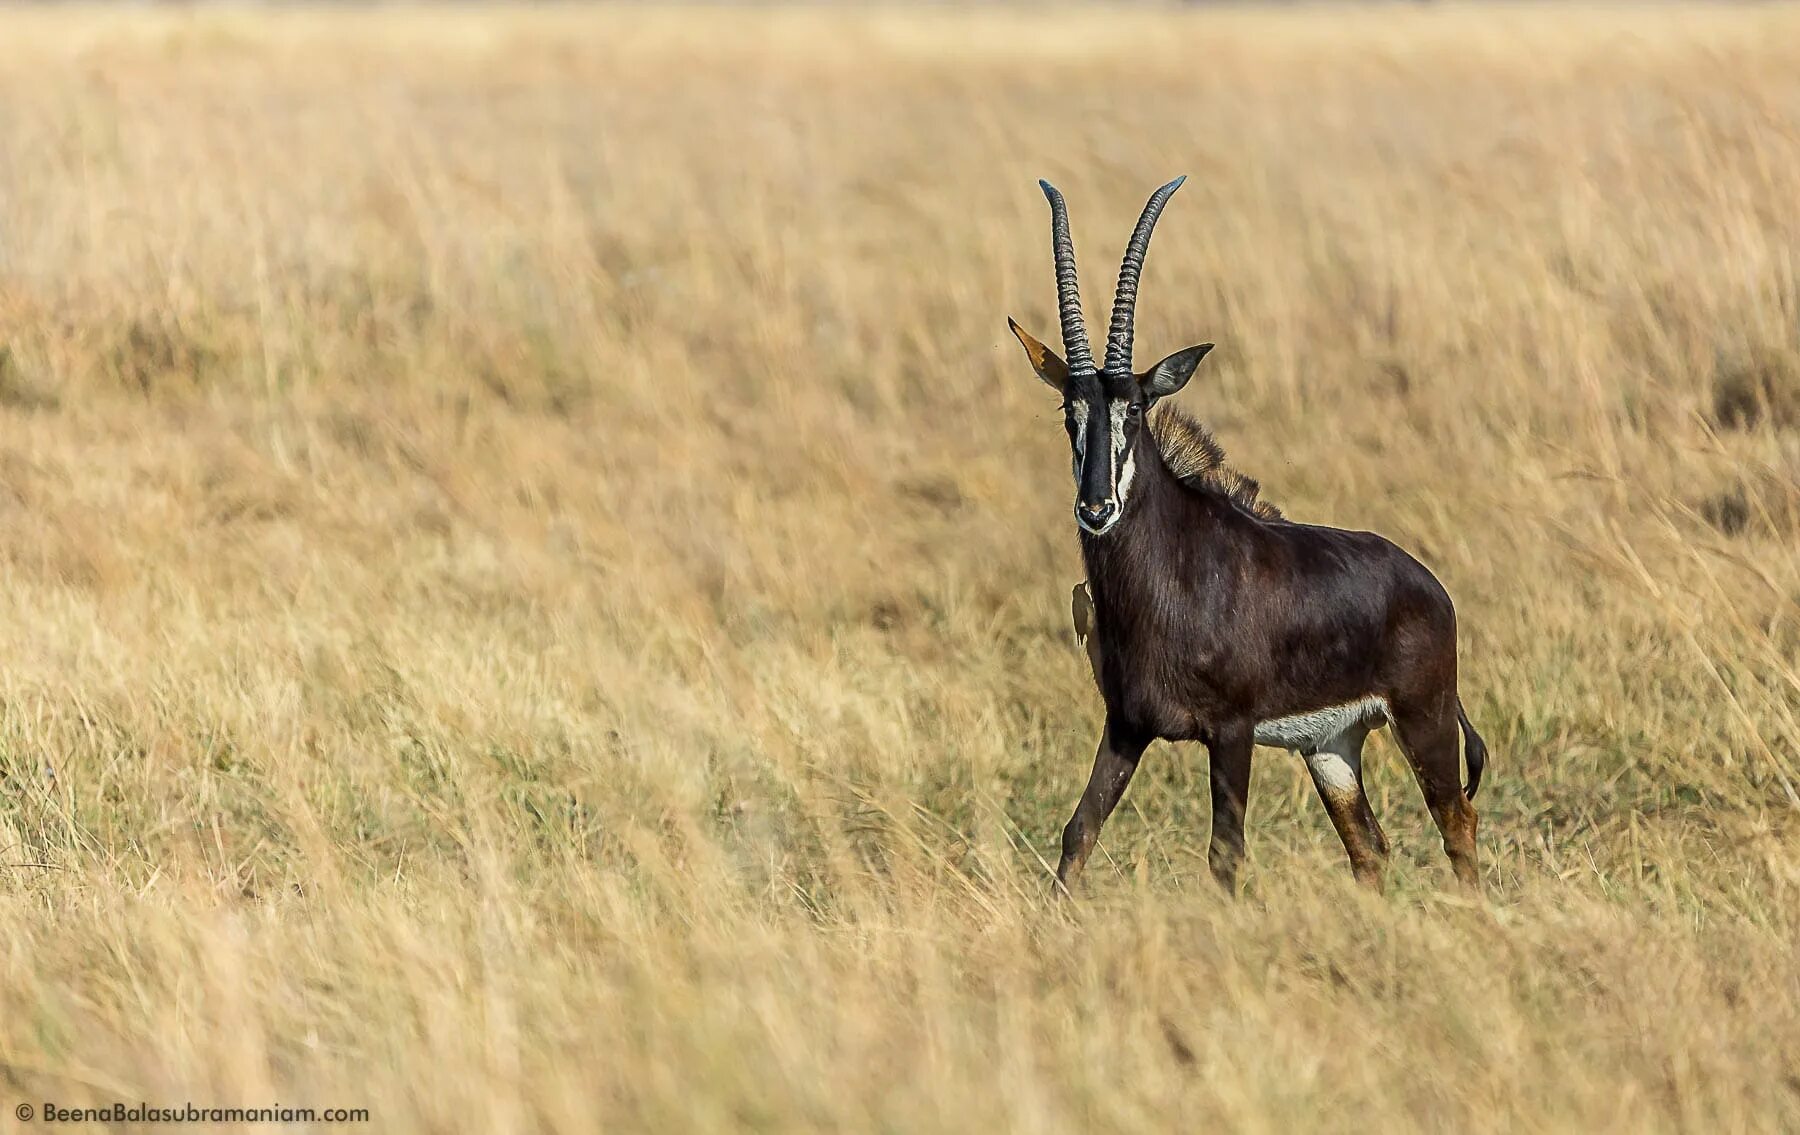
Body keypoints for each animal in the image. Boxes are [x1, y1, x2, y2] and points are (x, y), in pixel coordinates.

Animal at [1008, 178, 1483, 892]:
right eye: (1071, 410)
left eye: (1136, 407)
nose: (1095, 509)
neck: (1175, 572)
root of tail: (1430, 587)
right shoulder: (1125, 727)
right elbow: (1078, 832)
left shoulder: (1230, 733)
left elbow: (1224, 853)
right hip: (1331, 747)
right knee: (1370, 847)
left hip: (1422, 718)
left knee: (1458, 825)